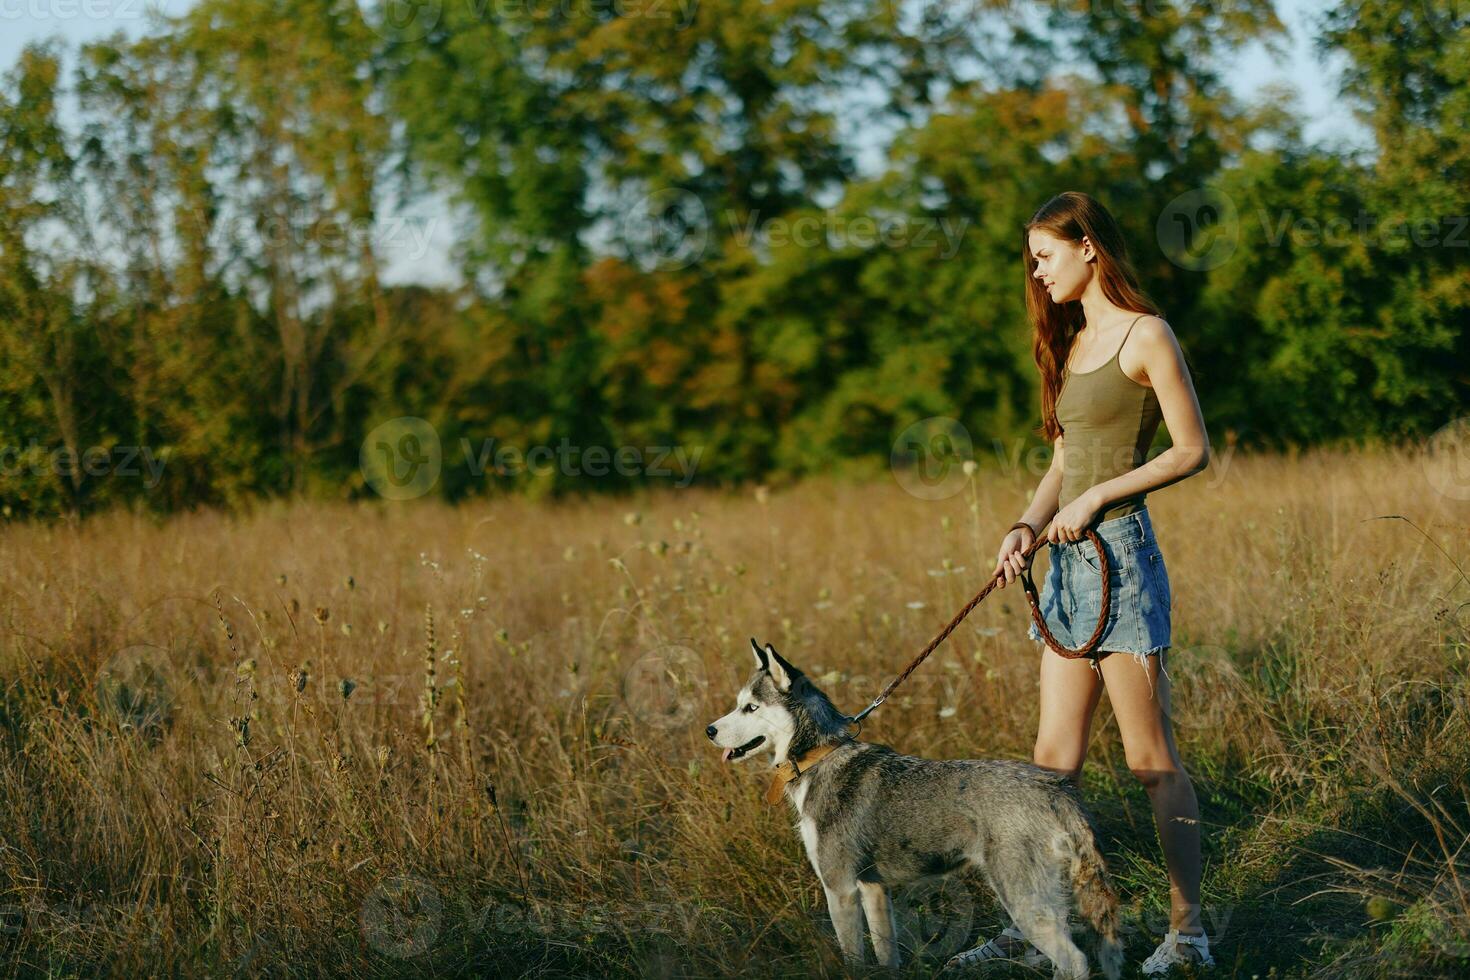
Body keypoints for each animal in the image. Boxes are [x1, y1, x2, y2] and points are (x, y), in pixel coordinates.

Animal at [705, 640, 1117, 975]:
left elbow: (853, 958)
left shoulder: (840, 888)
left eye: (750, 707)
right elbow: (887, 956)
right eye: (739, 705)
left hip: (1023, 899)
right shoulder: (873, 889)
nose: (709, 730)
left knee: (1075, 960)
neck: (820, 756)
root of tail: (1055, 788)